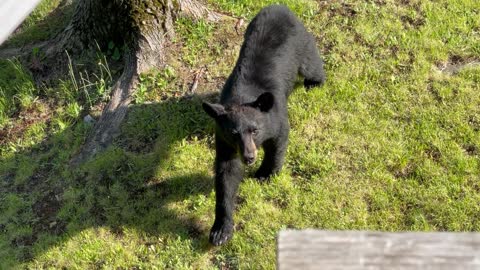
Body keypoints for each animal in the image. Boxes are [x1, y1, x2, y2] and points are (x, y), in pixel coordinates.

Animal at [202, 4, 326, 246]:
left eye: (255, 130)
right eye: (234, 133)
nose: (249, 157)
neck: (242, 98)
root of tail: (279, 6)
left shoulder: (275, 118)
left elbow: (278, 143)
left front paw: (265, 174)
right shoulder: (223, 140)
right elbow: (226, 174)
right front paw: (220, 230)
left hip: (302, 43)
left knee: (312, 64)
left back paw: (315, 82)